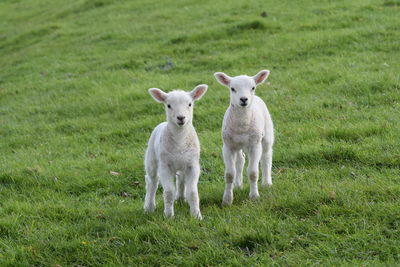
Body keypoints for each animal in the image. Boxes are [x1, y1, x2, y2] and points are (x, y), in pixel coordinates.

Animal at [144, 84, 208, 220]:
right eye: (168, 105)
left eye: (190, 104)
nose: (181, 118)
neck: (180, 139)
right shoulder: (165, 166)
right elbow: (168, 192)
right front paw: (169, 216)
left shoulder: (192, 165)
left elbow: (192, 192)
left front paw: (196, 216)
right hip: (151, 159)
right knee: (151, 181)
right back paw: (149, 206)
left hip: (182, 164)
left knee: (180, 179)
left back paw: (181, 198)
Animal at [214, 70, 274, 206]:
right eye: (232, 88)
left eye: (253, 87)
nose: (243, 99)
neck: (242, 124)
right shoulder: (227, 146)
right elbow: (229, 174)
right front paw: (227, 200)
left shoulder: (255, 145)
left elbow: (253, 172)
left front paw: (254, 196)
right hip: (237, 144)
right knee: (240, 160)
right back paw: (238, 185)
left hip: (266, 135)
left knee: (266, 157)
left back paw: (267, 183)